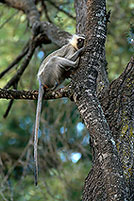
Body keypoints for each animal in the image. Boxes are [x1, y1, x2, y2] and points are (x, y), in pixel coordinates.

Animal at [34, 34, 85, 185]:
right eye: (80, 40)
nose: (82, 44)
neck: (74, 46)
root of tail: (41, 81)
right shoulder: (70, 49)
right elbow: (67, 58)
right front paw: (80, 53)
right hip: (48, 75)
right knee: (55, 60)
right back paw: (74, 64)